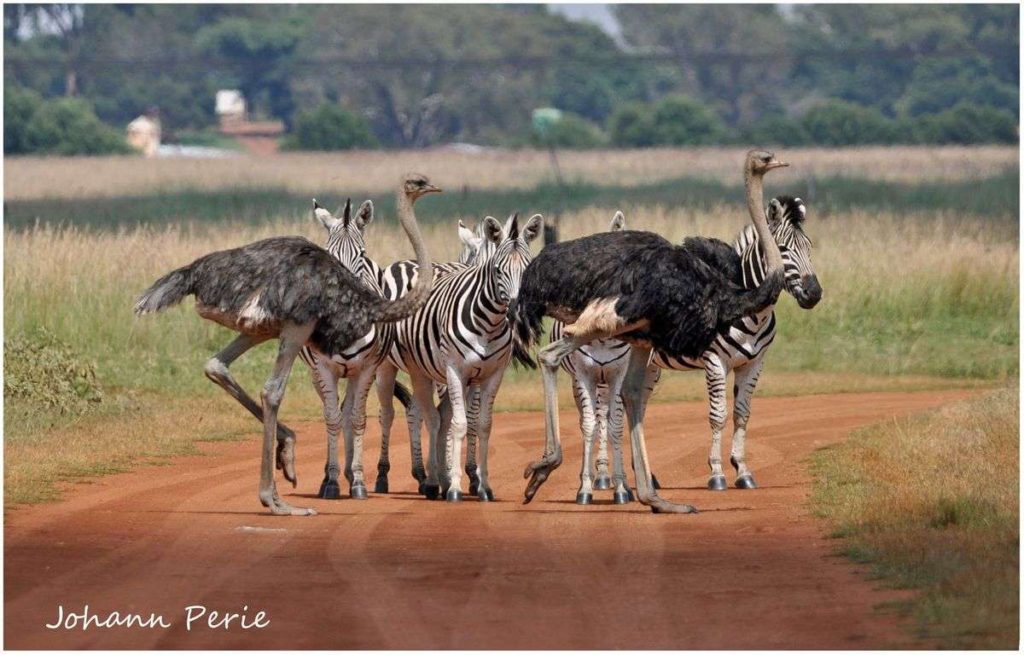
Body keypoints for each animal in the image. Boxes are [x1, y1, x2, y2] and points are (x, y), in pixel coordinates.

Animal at [372, 212, 540, 499]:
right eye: (496, 270)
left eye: (528, 269)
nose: (516, 312)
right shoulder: (452, 372)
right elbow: (455, 422)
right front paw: (454, 478)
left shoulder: (483, 375)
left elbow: (474, 422)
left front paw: (472, 477)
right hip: (387, 366)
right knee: (389, 414)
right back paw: (386, 476)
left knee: (418, 411)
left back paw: (426, 475)